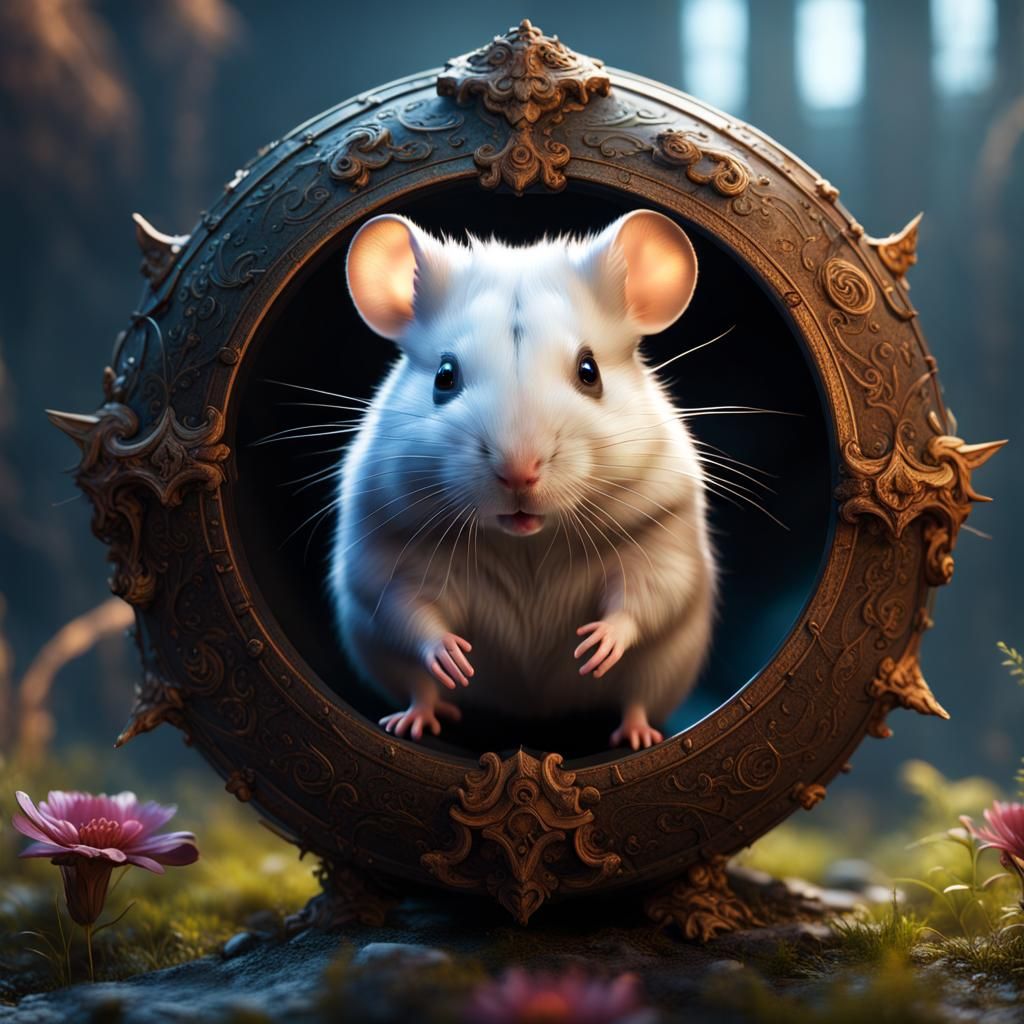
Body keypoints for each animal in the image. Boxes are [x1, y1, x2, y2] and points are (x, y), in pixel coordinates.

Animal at [329, 208, 716, 751]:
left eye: (589, 371)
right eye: (444, 377)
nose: (519, 471)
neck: (525, 545)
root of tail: (531, 709)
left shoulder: (660, 537)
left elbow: (645, 599)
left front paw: (596, 645)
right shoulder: (390, 552)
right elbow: (406, 609)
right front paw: (453, 656)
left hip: (662, 669)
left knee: (638, 694)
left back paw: (638, 734)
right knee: (417, 684)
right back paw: (417, 718)